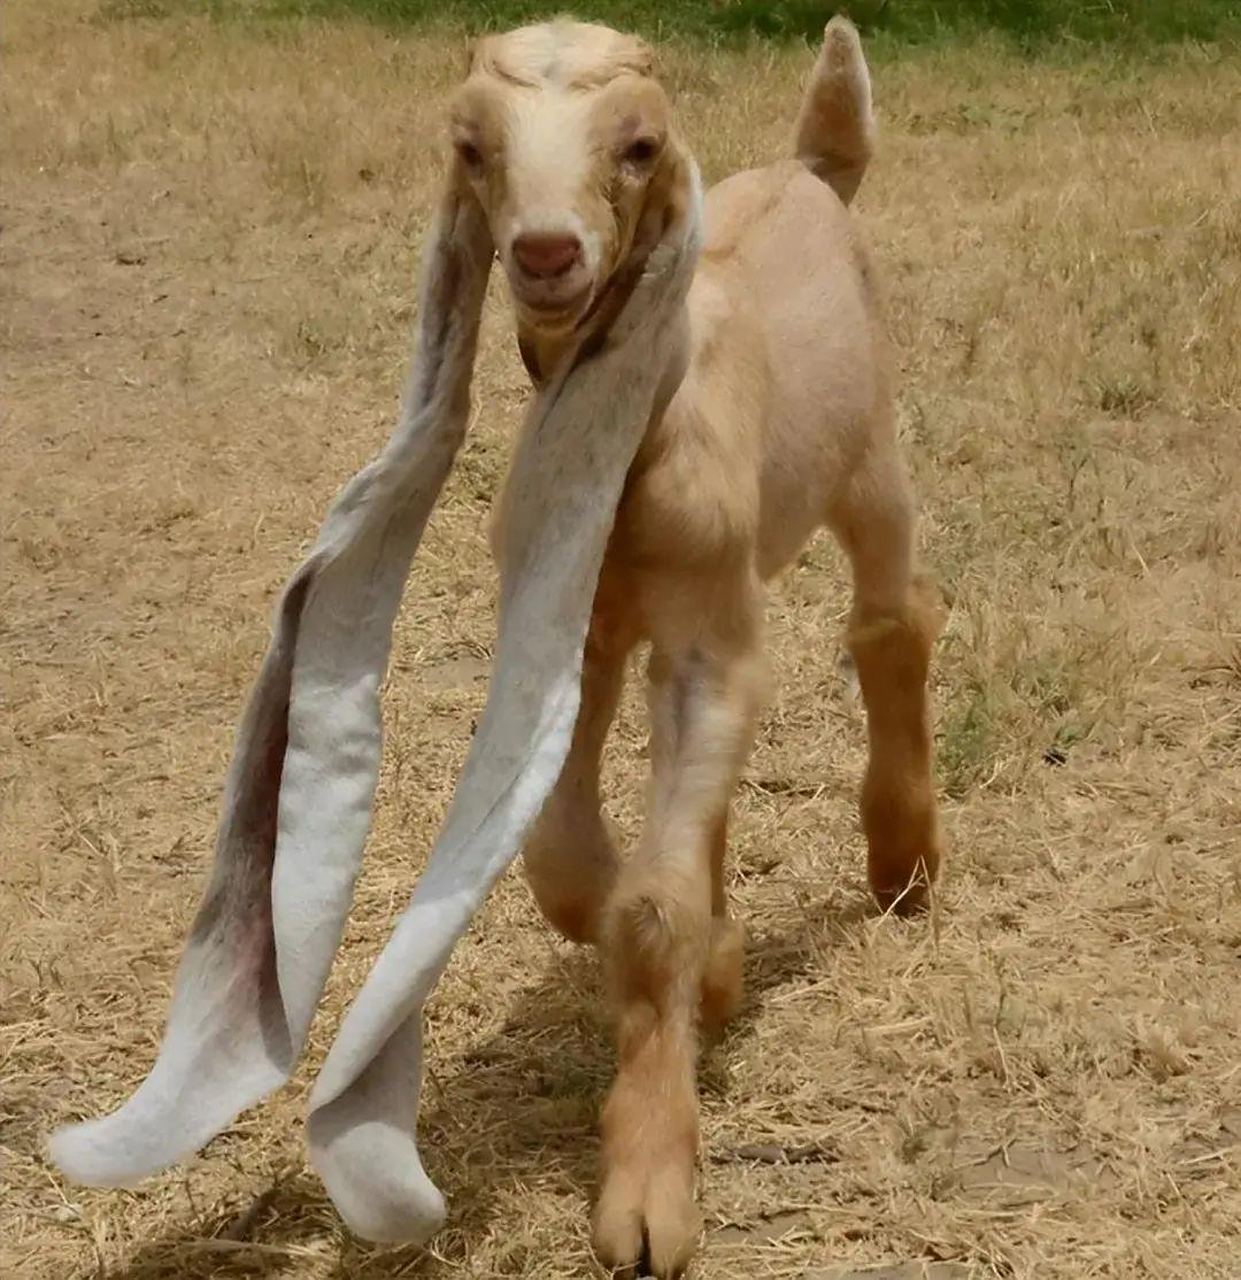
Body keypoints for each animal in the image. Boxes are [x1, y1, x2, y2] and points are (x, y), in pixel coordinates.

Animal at [49, 18, 941, 1278]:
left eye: (638, 144)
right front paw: (711, 965)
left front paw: (648, 1194)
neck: (639, 426)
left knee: (890, 614)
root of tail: (814, 168)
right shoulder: (581, 623)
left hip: (867, 459)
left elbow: (649, 905)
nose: (548, 250)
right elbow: (566, 862)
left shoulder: (714, 638)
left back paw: (903, 861)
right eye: (471, 146)